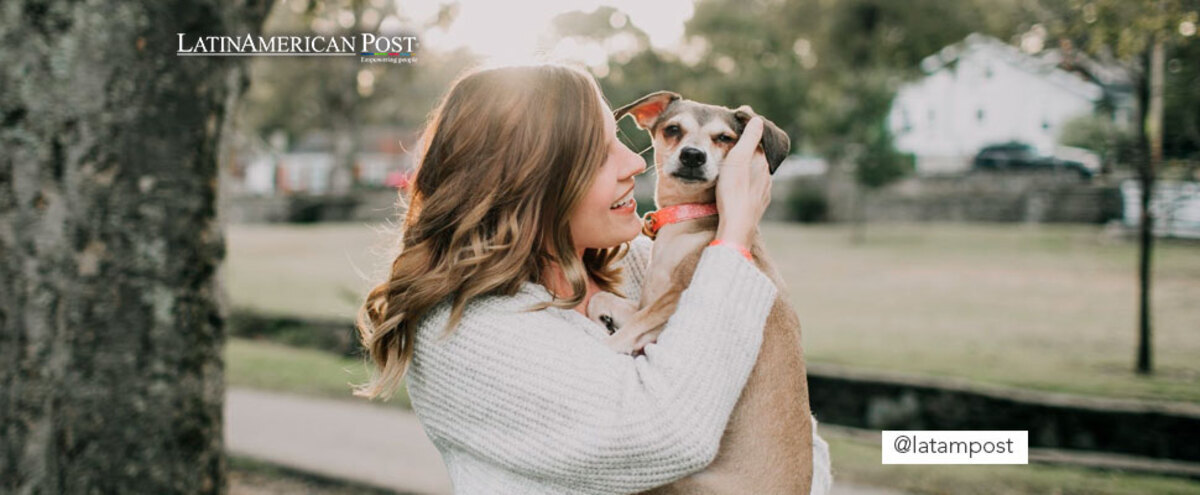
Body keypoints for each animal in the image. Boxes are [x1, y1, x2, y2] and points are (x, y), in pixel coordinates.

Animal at [585, 91, 830, 495]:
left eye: (724, 138)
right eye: (673, 129)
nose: (692, 155)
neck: (689, 218)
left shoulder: (675, 301)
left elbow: (628, 331)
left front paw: (609, 342)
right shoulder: (649, 301)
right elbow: (607, 302)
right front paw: (602, 314)